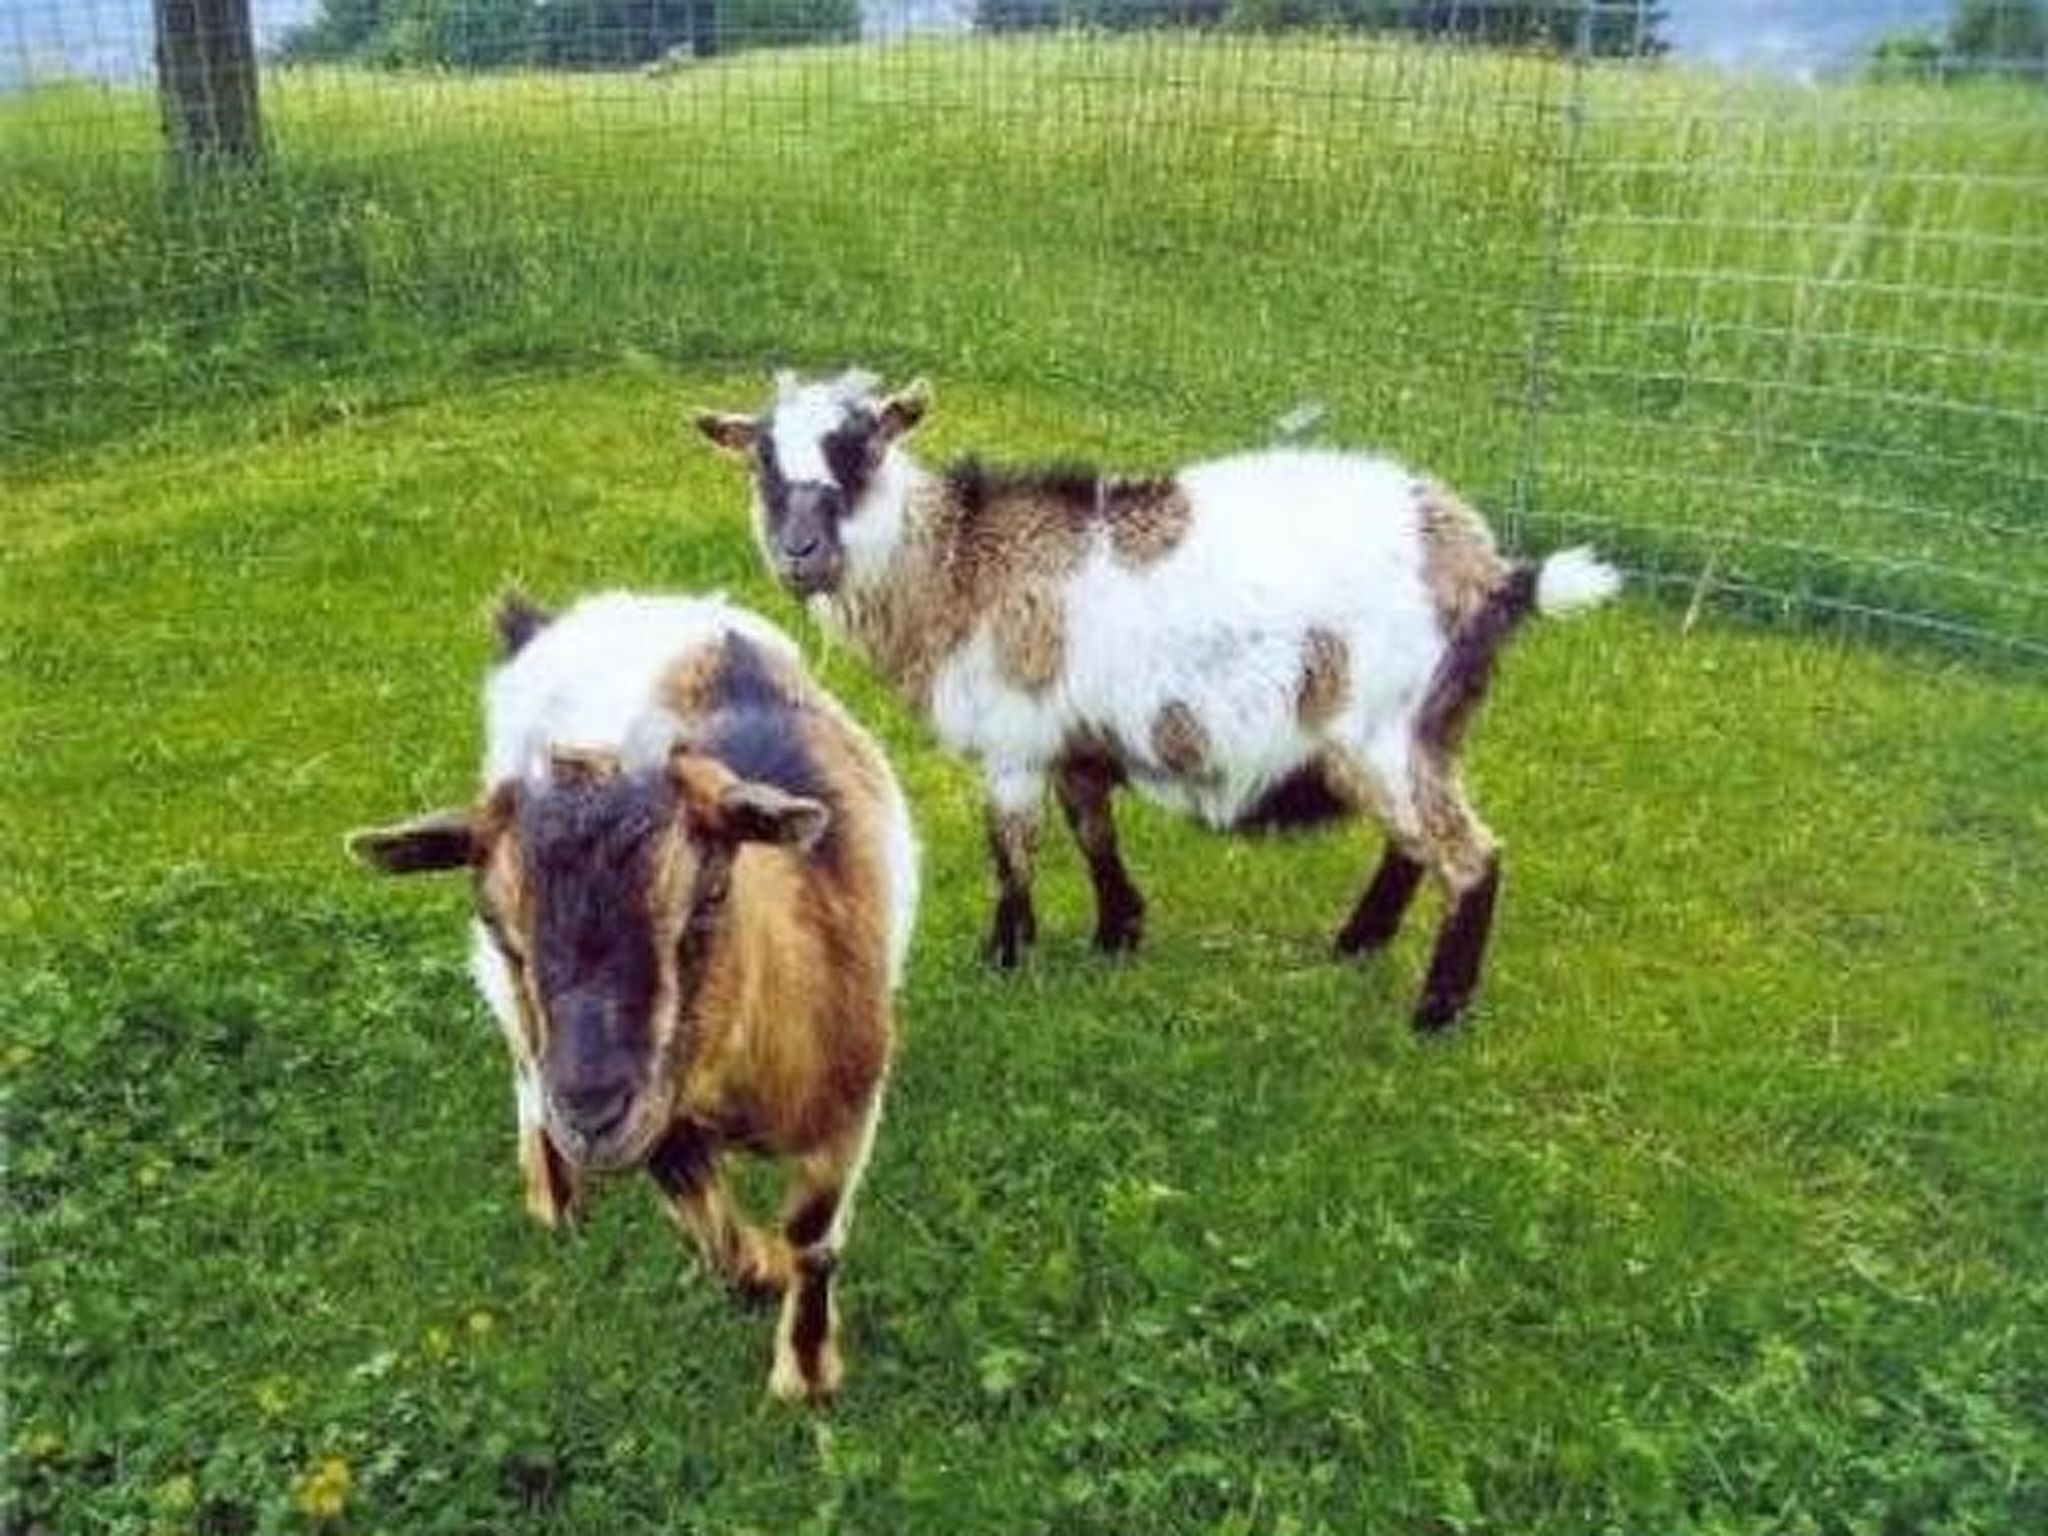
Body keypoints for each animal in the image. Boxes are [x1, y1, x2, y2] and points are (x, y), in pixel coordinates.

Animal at [348, 590, 918, 1400]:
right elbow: (714, 1236)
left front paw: (804, 1374)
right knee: (524, 1070)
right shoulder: (657, 1111)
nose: (590, 1114)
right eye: (497, 920)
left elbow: (813, 1237)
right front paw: (762, 1273)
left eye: (710, 896)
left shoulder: (849, 1100)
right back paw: (553, 1193)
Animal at [696, 371, 1616, 1031]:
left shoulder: (1015, 742)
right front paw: (1117, 935)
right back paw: (1357, 946)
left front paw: (1004, 960)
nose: (800, 551)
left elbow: (1014, 851)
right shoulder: (1074, 739)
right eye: (762, 460)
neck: (957, 568)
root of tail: (1489, 571)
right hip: (1419, 733)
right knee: (1414, 842)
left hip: (1387, 726)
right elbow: (1093, 830)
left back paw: (1435, 1011)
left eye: (859, 449)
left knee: (1471, 856)